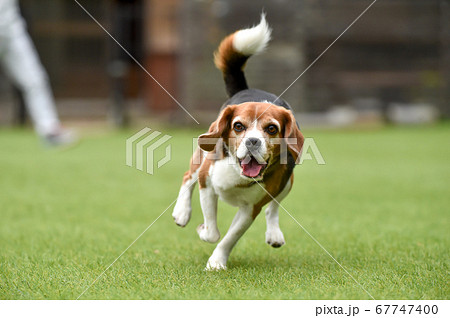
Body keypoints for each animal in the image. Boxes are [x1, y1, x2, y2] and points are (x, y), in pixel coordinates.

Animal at [172, 13, 306, 270]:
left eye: (272, 128)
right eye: (238, 126)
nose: (252, 142)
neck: (238, 172)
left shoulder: (250, 209)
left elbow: (229, 237)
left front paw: (217, 261)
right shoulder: (207, 183)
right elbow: (212, 232)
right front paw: (203, 230)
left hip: (288, 183)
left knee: (274, 207)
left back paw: (274, 234)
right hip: (201, 158)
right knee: (186, 177)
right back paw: (182, 212)